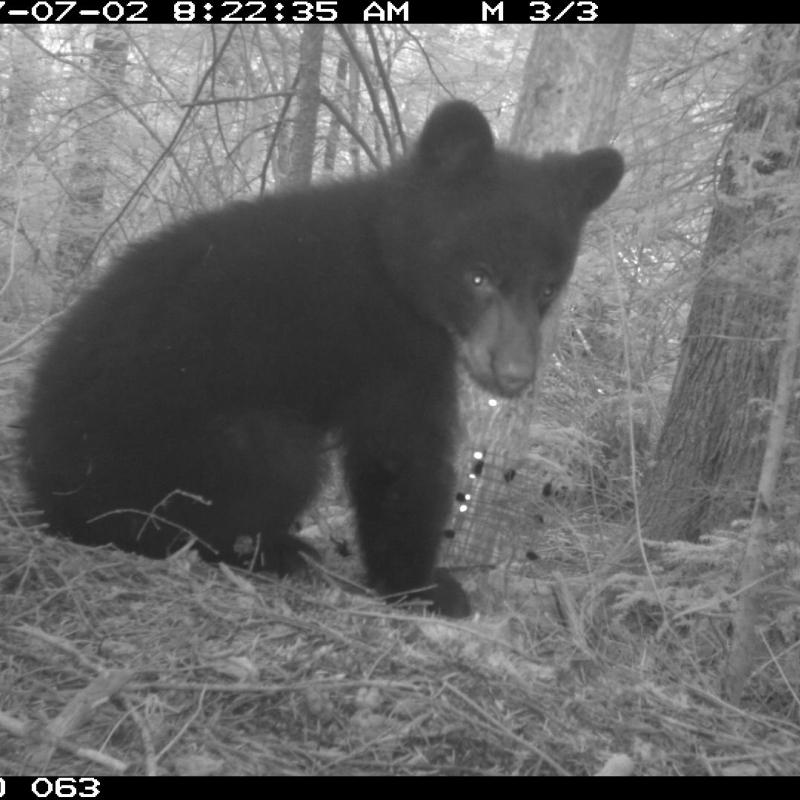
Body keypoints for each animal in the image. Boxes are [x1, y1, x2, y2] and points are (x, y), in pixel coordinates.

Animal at [22, 101, 623, 617]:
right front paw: (422, 585)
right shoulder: (386, 346)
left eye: (547, 289)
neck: (387, 259)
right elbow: (400, 459)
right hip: (174, 457)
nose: (516, 374)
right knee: (261, 467)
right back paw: (264, 552)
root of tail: (43, 484)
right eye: (478, 276)